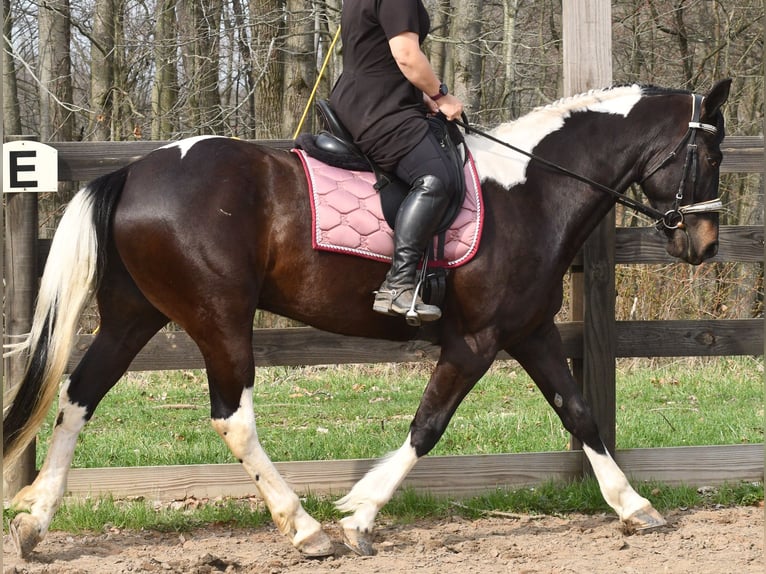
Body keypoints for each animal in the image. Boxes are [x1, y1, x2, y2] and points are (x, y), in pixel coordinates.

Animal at [3, 79, 731, 558]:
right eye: (713, 154)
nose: (704, 245)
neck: (532, 189)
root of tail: (131, 173)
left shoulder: (531, 332)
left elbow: (579, 414)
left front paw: (635, 506)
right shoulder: (476, 341)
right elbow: (428, 425)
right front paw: (359, 516)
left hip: (135, 315)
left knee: (77, 397)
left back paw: (35, 523)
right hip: (219, 318)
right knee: (233, 419)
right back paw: (305, 529)